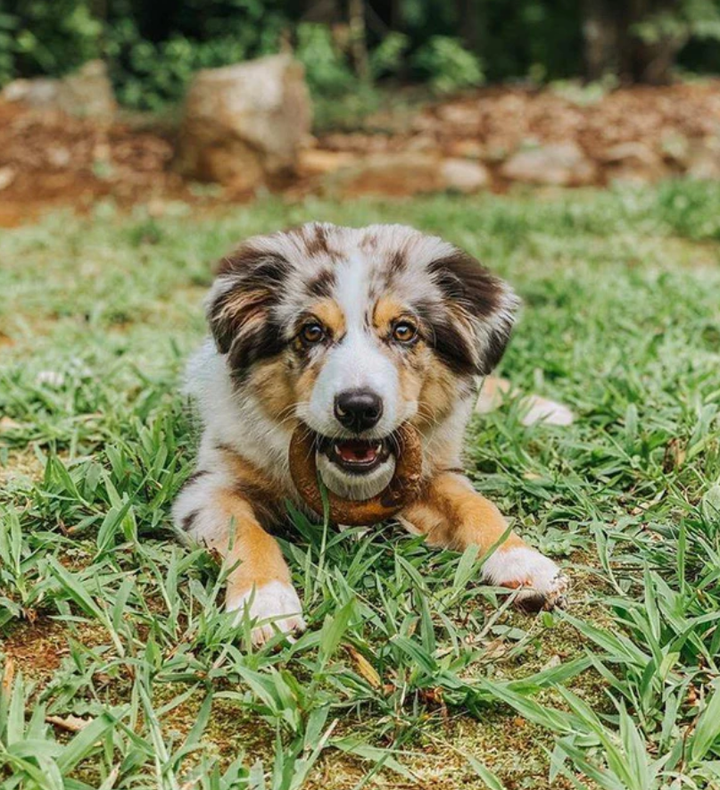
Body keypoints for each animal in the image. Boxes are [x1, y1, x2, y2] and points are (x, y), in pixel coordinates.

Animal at [173, 221, 568, 644]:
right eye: (312, 331)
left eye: (404, 331)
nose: (359, 408)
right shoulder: (208, 487)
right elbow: (245, 532)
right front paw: (264, 602)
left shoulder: (433, 471)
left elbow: (475, 506)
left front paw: (523, 560)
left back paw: (549, 410)